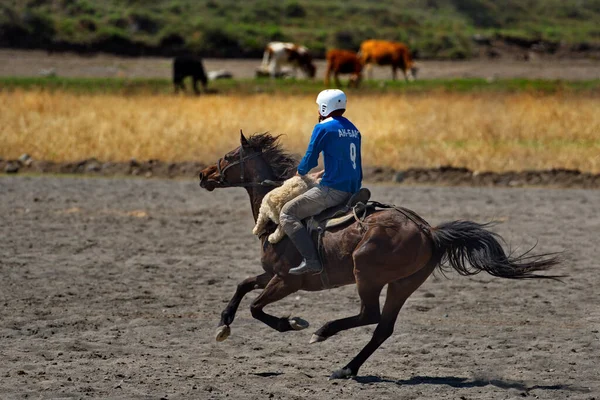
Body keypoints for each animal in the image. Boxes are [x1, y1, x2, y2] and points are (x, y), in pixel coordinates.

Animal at [199, 133, 560, 380]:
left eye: (229, 156)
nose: (203, 174)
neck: (277, 218)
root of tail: (428, 230)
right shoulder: (270, 274)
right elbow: (243, 285)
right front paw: (223, 325)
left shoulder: (288, 280)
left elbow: (256, 307)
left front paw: (292, 323)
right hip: (403, 284)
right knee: (382, 327)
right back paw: (346, 368)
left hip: (367, 275)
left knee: (369, 315)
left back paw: (324, 332)